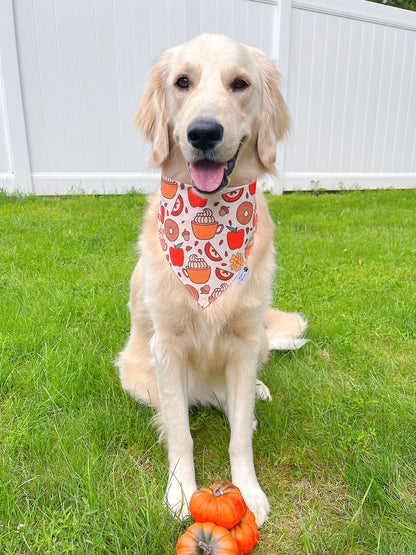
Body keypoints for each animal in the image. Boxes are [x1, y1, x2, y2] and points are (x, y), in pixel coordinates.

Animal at [115, 32, 308, 528]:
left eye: (240, 83)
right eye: (182, 82)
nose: (203, 132)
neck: (211, 211)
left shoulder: (243, 342)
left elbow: (239, 434)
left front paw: (249, 492)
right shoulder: (167, 347)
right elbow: (181, 433)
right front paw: (182, 491)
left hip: (257, 341)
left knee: (236, 399)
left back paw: (255, 394)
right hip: (136, 376)